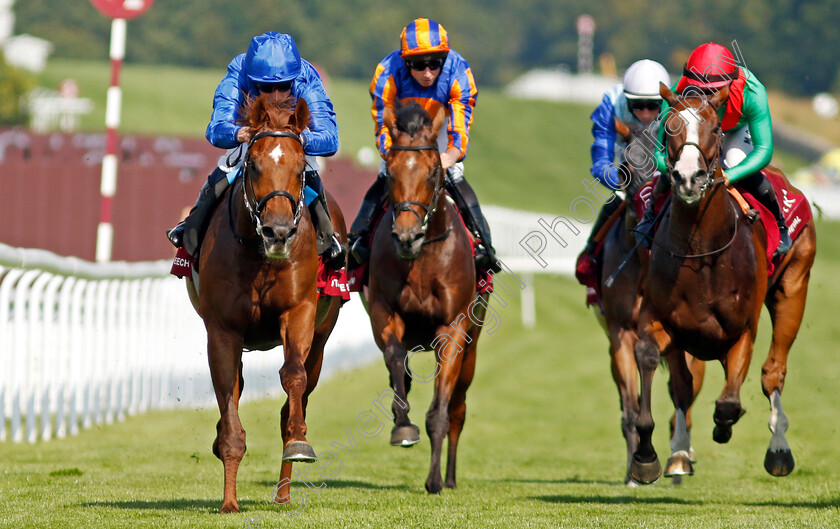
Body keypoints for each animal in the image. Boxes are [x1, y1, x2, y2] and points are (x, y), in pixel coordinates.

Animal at [192, 92, 346, 512]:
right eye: (255, 164)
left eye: (300, 168)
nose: (278, 231)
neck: (260, 257)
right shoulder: (222, 330)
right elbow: (228, 400)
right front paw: (229, 500)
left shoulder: (299, 313)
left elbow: (292, 377)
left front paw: (299, 443)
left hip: (323, 337)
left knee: (299, 391)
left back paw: (284, 491)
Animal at [362, 102, 486, 490]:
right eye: (391, 172)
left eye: (433, 172)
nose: (407, 237)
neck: (422, 259)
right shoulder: (383, 310)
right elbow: (395, 357)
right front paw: (402, 425)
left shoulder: (453, 328)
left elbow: (441, 411)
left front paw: (434, 480)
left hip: (473, 346)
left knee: (459, 407)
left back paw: (450, 477)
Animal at [600, 117, 704, 484]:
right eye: (624, 169)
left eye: (664, 168)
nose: (647, 212)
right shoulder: (621, 333)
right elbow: (631, 408)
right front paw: (636, 468)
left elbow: (683, 394)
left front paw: (680, 457)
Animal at [632, 82, 812, 482]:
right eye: (669, 128)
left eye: (715, 128)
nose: (688, 178)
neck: (701, 250)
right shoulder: (661, 319)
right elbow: (652, 361)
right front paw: (646, 457)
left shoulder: (743, 328)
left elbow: (729, 402)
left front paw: (725, 425)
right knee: (684, 387)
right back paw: (679, 454)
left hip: (793, 286)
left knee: (772, 373)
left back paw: (779, 449)